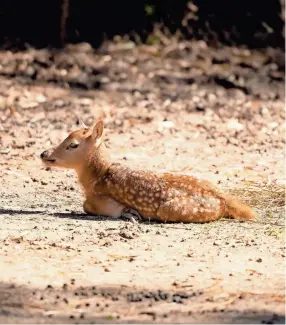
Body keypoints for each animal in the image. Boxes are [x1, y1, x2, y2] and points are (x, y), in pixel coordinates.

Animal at [40, 119, 256, 223]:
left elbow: (87, 205)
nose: (44, 153)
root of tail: (224, 200)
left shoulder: (99, 198)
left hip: (173, 209)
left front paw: (131, 213)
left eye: (73, 145)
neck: (95, 179)